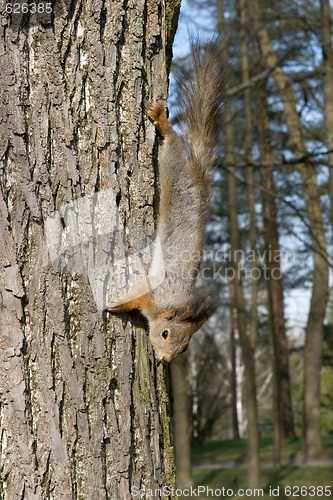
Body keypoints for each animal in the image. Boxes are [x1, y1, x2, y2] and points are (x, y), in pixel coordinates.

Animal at [107, 42, 224, 364]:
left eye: (184, 348)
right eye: (165, 334)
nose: (164, 361)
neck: (171, 303)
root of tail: (198, 174)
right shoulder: (152, 291)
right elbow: (135, 297)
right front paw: (116, 305)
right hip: (172, 166)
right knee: (172, 140)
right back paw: (161, 119)